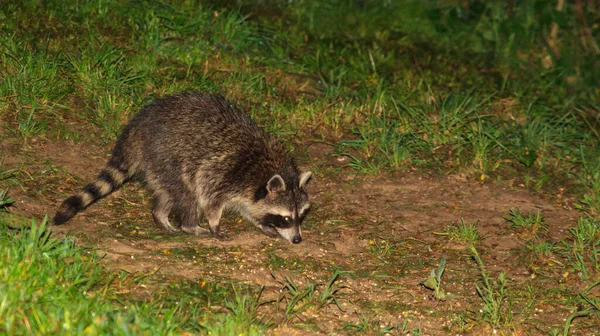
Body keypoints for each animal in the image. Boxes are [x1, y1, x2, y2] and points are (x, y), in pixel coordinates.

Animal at [54, 92, 312, 244]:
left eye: (300, 216)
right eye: (286, 218)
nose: (297, 239)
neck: (268, 170)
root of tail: (136, 128)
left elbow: (248, 209)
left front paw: (261, 223)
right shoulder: (224, 174)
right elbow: (211, 201)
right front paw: (215, 224)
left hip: (157, 163)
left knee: (167, 192)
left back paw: (161, 215)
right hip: (166, 154)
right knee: (188, 193)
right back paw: (191, 225)